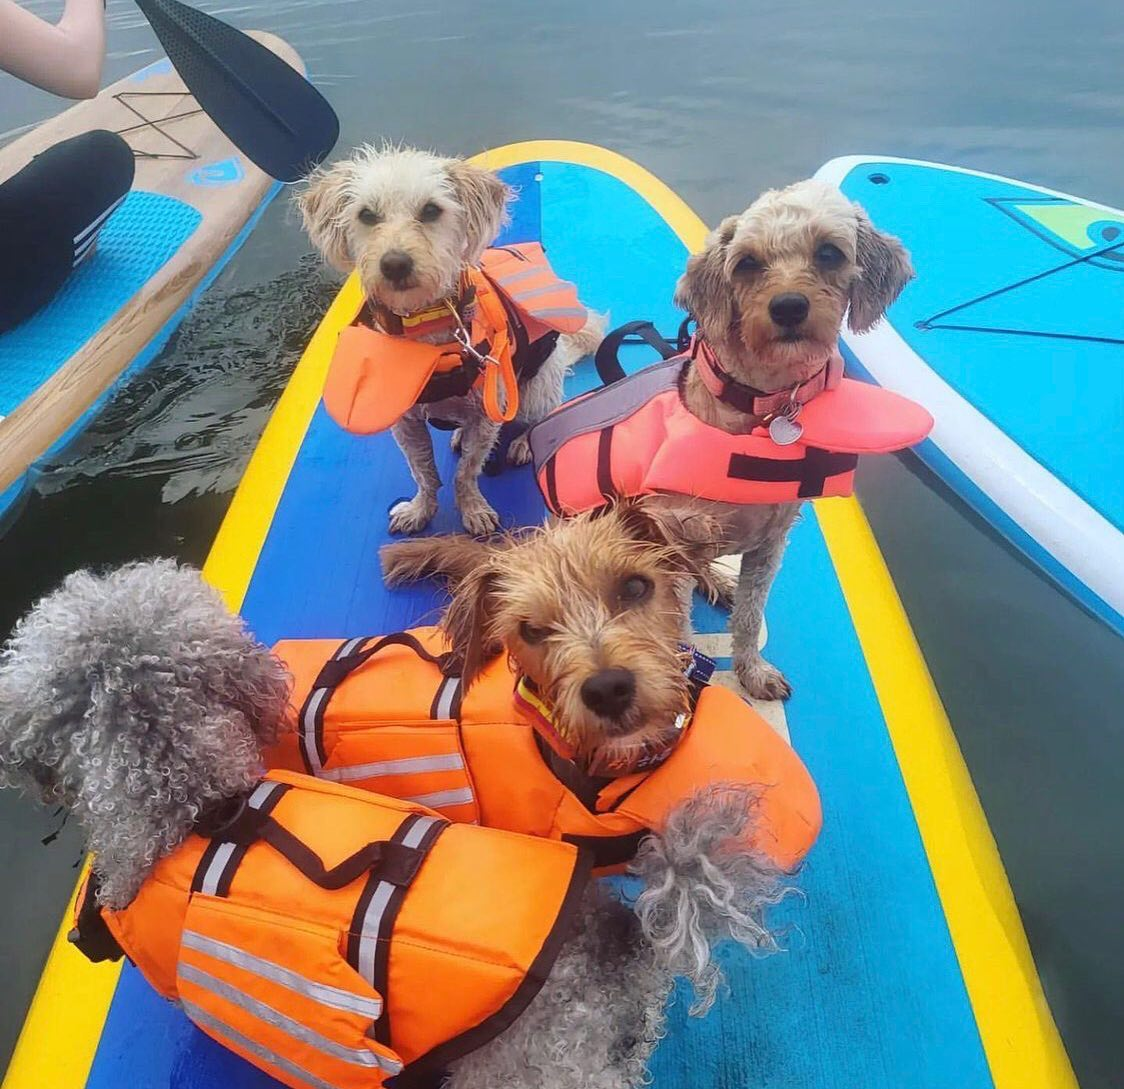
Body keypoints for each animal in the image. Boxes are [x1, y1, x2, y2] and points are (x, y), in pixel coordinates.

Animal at [294, 144, 602, 534]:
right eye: (366, 214)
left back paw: (521, 442)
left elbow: (465, 473)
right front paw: (420, 509)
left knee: (537, 418)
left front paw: (472, 508)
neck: (427, 326)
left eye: (431, 210)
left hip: (537, 392)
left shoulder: (486, 416)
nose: (394, 264)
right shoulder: (406, 424)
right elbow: (423, 472)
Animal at [665, 178, 912, 696]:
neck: (757, 407)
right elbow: (677, 633)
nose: (789, 306)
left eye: (830, 253)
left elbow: (748, 618)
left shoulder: (769, 545)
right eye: (746, 262)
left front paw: (751, 671)